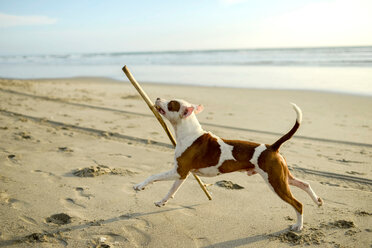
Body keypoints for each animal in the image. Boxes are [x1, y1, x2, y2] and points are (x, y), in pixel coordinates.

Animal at [134, 98, 322, 232]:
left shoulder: (179, 171)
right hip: (282, 177)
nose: (158, 98)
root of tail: (272, 146)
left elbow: (153, 176)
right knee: (304, 184)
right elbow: (171, 191)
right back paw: (317, 201)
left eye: (171, 104)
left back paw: (298, 226)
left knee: (298, 204)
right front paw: (162, 202)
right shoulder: (182, 174)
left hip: (275, 182)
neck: (188, 132)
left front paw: (139, 186)